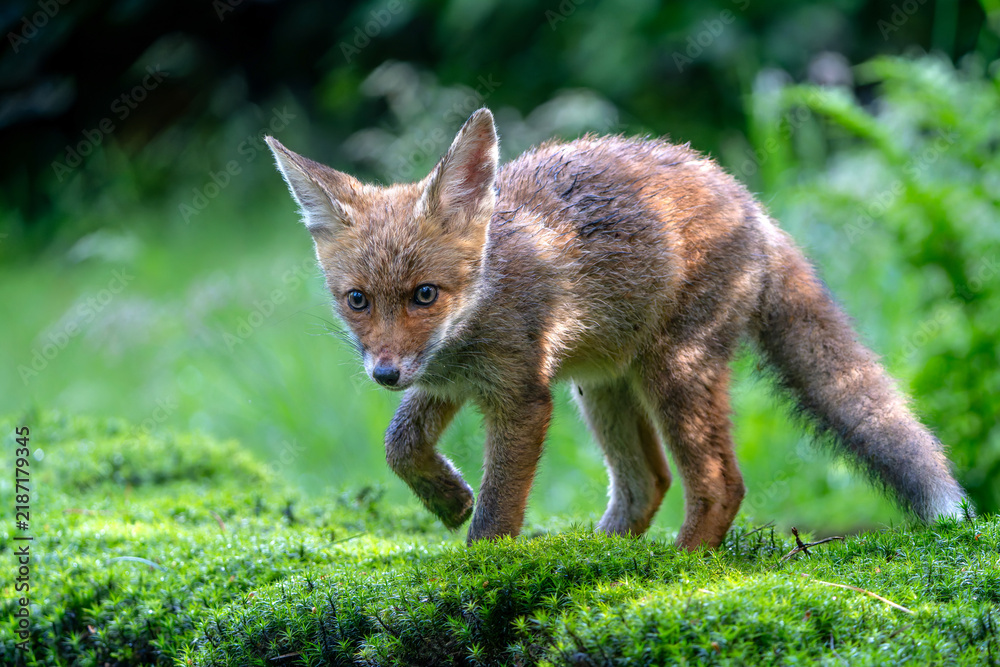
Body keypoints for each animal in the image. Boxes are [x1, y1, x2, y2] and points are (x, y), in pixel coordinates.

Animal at [264, 108, 968, 550]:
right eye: (357, 300)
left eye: (424, 295)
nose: (383, 373)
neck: (485, 298)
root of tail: (750, 204)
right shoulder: (446, 380)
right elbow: (399, 445)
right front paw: (446, 499)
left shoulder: (521, 397)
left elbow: (498, 511)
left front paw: (482, 571)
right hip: (602, 387)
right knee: (647, 485)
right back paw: (603, 557)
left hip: (672, 373)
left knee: (720, 485)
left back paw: (678, 570)